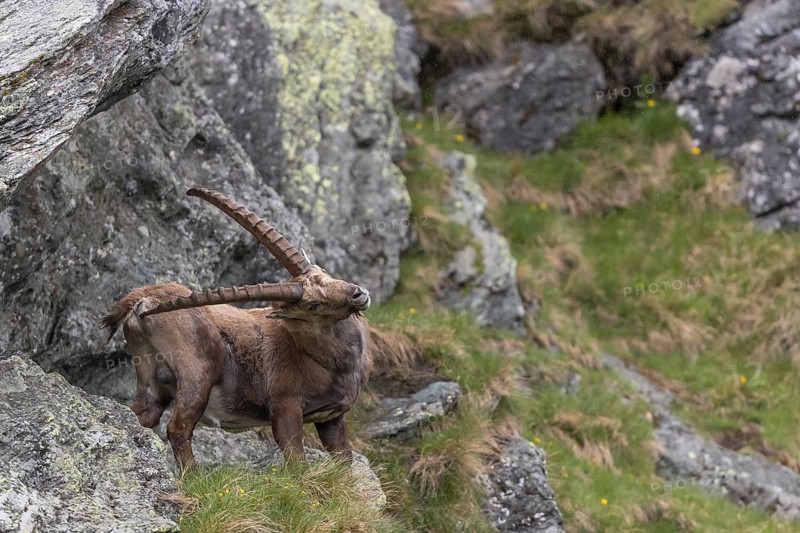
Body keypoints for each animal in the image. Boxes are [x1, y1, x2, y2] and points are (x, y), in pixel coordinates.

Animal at [102, 187, 372, 468]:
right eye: (313, 305)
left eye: (324, 272)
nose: (357, 294)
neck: (330, 361)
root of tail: (144, 301)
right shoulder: (285, 407)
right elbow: (295, 458)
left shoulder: (331, 419)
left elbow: (344, 459)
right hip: (198, 373)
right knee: (178, 428)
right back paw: (194, 475)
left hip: (151, 378)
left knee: (143, 414)